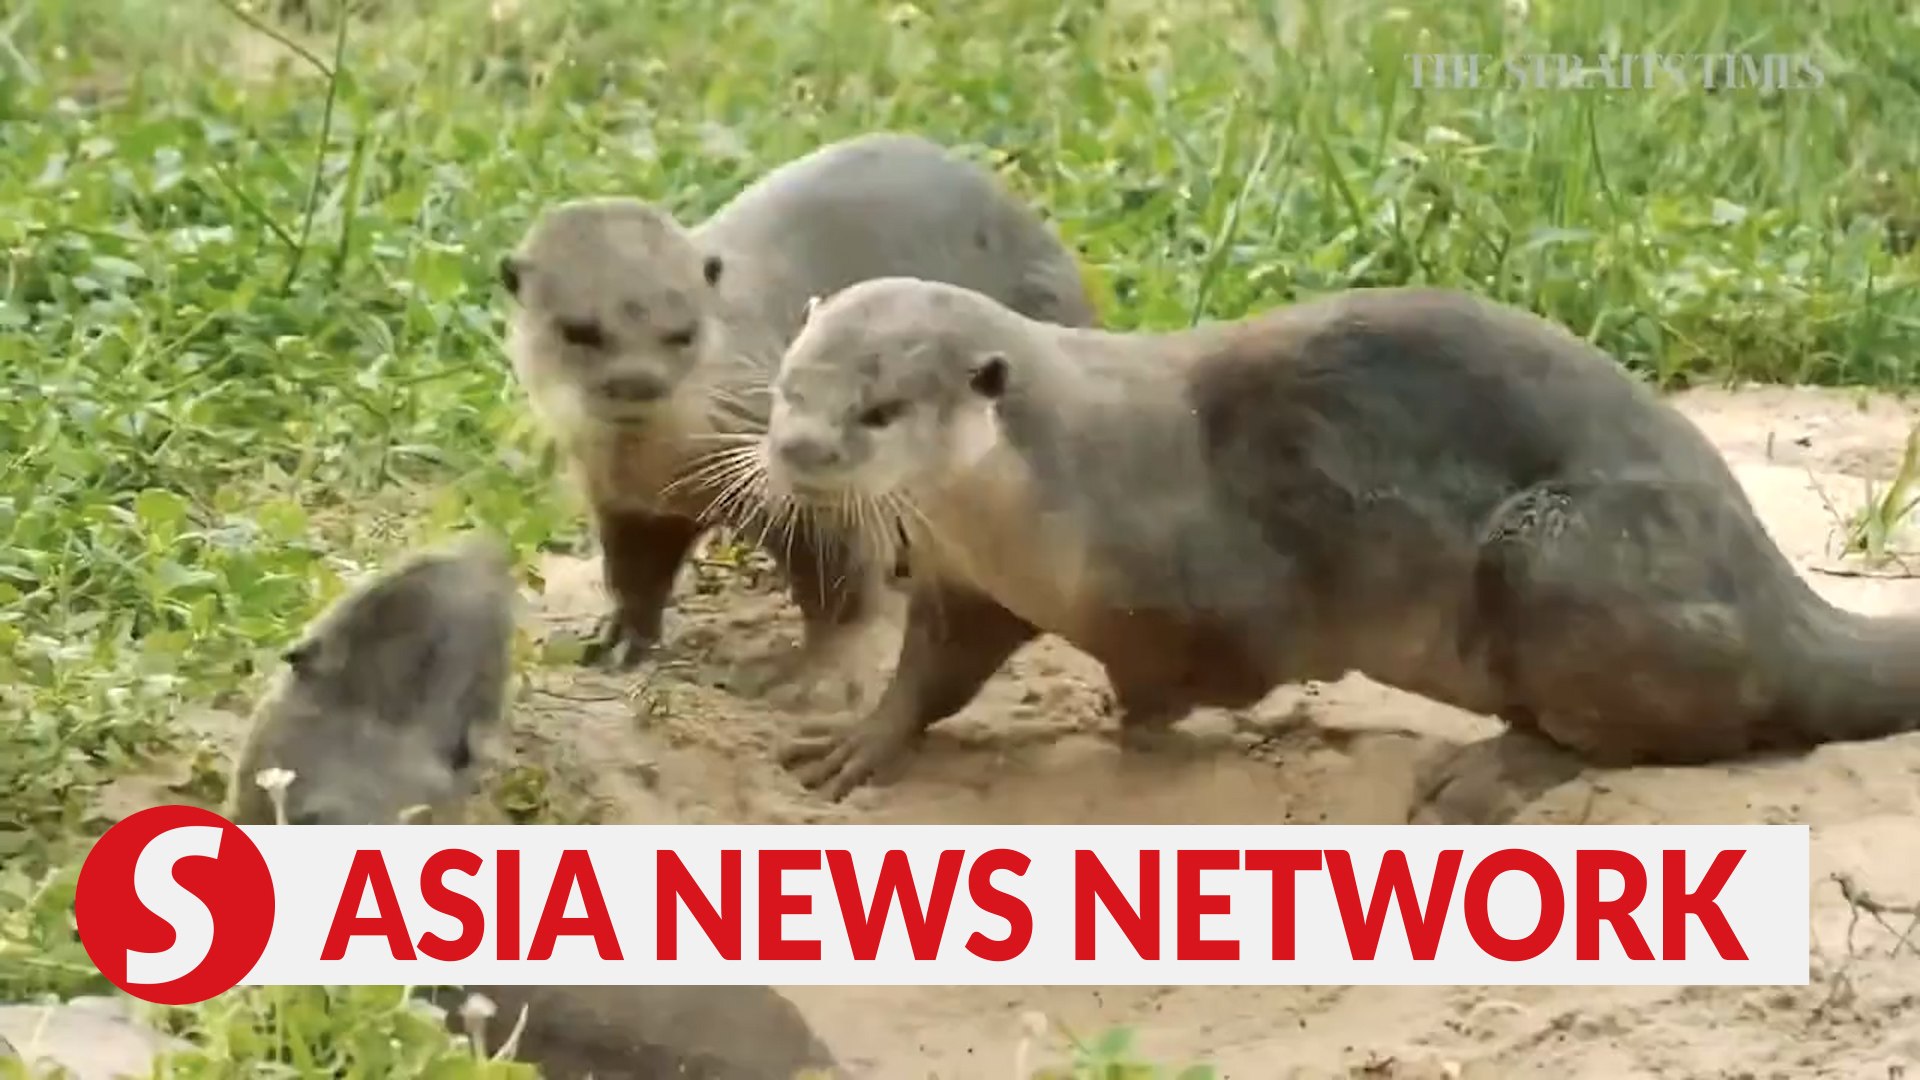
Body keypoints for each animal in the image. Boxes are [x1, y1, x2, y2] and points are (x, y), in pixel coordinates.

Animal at [498, 131, 1098, 710]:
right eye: (579, 331)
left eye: (683, 332)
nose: (638, 382)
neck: (663, 463)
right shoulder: (630, 504)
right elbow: (633, 577)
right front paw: (620, 640)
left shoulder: (819, 503)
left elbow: (842, 592)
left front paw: (820, 678)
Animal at [752, 277, 1920, 822]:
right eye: (789, 387)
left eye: (881, 409)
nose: (799, 450)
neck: (1064, 488)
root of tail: (1775, 589)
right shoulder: (969, 580)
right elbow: (934, 669)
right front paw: (860, 739)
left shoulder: (1215, 595)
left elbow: (1205, 674)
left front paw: (1152, 728)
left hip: (1560, 552)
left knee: (1685, 726)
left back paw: (1492, 768)